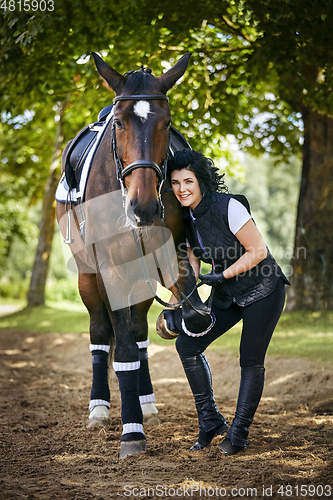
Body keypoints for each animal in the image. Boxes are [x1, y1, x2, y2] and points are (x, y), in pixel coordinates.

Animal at [54, 52, 210, 458]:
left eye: (166, 123)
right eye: (120, 122)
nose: (144, 207)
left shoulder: (169, 256)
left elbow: (189, 313)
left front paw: (175, 321)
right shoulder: (110, 269)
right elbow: (120, 347)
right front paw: (131, 432)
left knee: (138, 332)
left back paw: (146, 403)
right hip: (88, 274)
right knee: (100, 333)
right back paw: (100, 408)